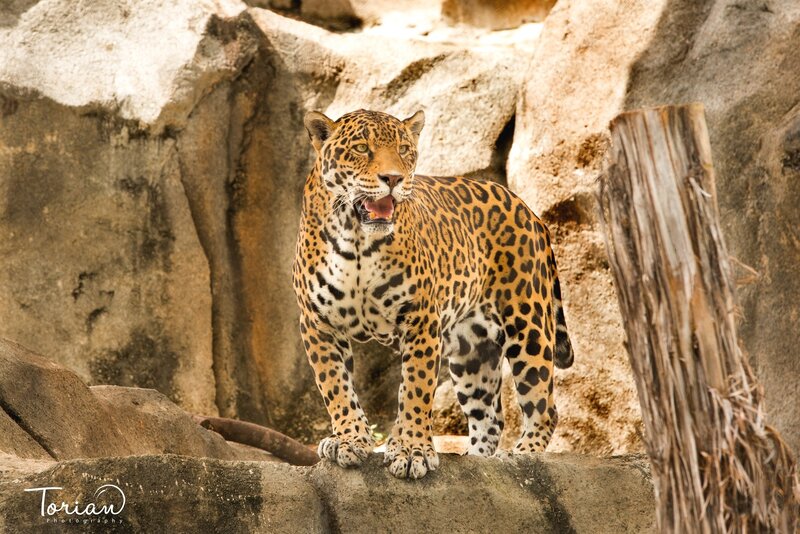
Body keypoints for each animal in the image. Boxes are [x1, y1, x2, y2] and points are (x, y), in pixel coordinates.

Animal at [293, 108, 574, 480]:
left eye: (404, 149)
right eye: (362, 149)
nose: (393, 178)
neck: (358, 240)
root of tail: (528, 209)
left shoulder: (420, 320)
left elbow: (415, 388)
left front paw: (412, 449)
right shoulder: (318, 323)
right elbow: (336, 386)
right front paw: (350, 439)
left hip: (528, 325)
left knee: (544, 407)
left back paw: (522, 456)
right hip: (472, 353)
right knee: (490, 418)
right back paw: (477, 461)